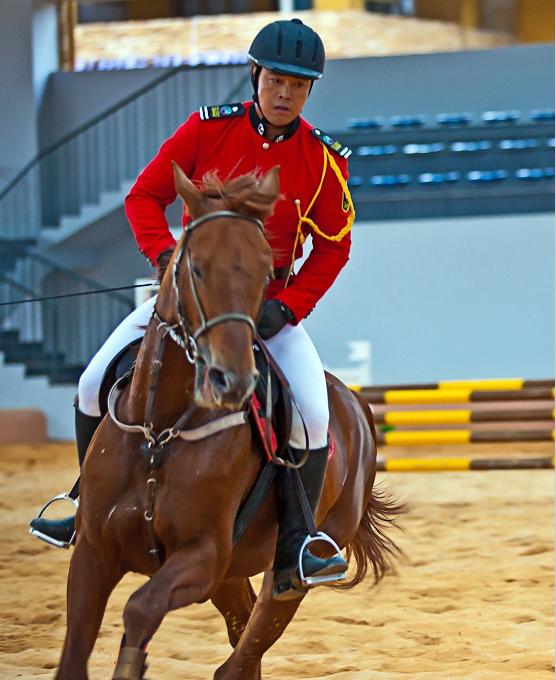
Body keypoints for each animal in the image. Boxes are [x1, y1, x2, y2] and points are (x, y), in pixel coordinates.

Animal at [54, 163, 402, 680]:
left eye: (264, 272)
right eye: (195, 267)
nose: (231, 379)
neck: (162, 432)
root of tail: (355, 404)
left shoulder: (203, 557)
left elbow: (139, 607)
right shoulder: (93, 555)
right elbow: (75, 653)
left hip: (287, 573)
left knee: (243, 655)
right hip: (231, 574)